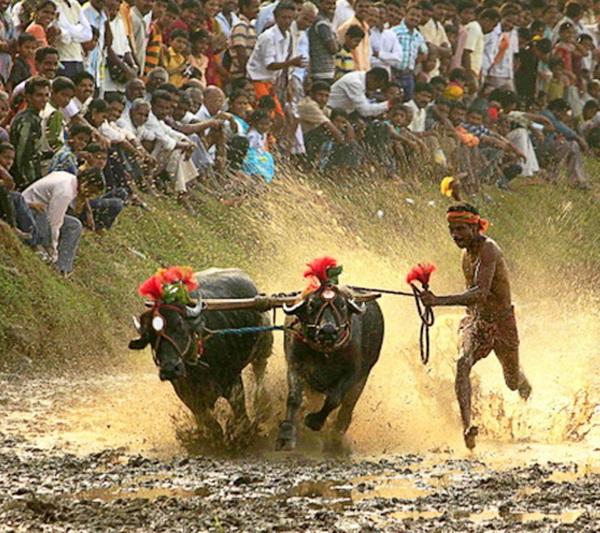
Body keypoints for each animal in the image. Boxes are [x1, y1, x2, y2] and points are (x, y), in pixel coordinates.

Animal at [131, 268, 274, 438]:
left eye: (180, 325)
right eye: (150, 335)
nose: (170, 369)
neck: (198, 365)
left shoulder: (233, 381)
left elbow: (240, 414)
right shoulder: (187, 395)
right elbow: (210, 423)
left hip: (264, 345)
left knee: (260, 370)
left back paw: (262, 402)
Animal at [276, 282, 384, 448]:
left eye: (342, 305)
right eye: (311, 304)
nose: (328, 330)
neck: (325, 353)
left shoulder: (353, 372)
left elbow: (334, 398)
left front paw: (314, 422)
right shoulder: (295, 364)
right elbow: (294, 397)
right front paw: (287, 433)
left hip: (361, 381)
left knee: (347, 408)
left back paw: (337, 436)